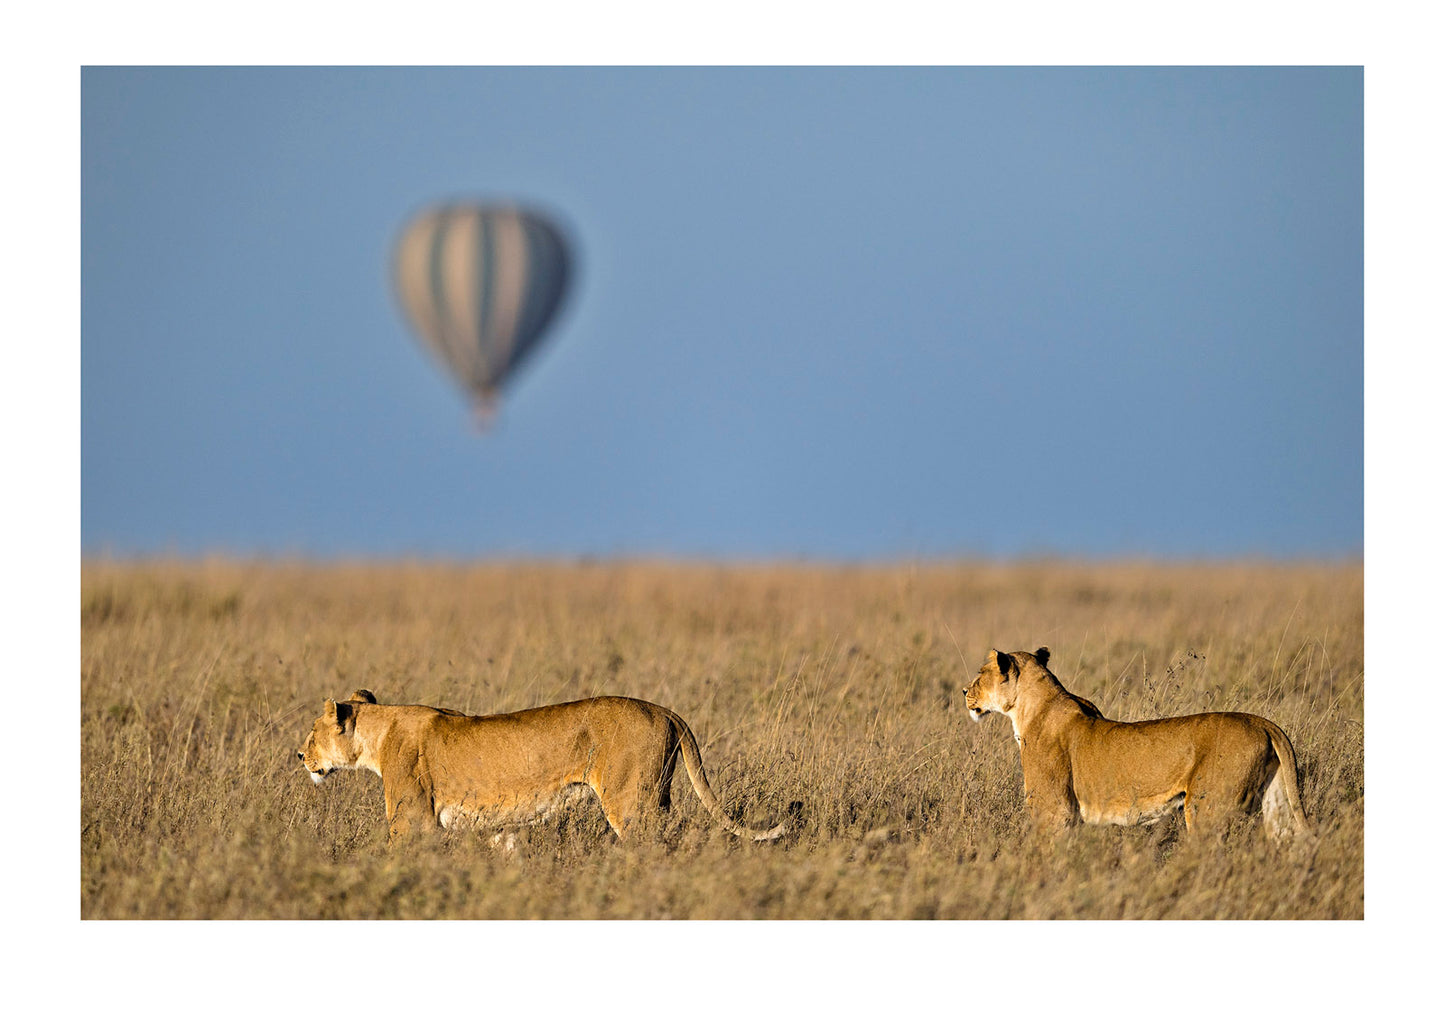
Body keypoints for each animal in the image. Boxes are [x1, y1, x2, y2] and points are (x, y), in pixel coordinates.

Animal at [297, 690, 797, 844]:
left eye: (311, 734)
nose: (300, 757)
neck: (377, 736)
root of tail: (665, 709)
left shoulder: (413, 822)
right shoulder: (498, 826)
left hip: (631, 804)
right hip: (659, 793)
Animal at [964, 648, 1310, 841]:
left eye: (980, 674)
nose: (964, 691)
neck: (1028, 709)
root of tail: (1264, 723)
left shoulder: (1055, 810)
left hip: (1206, 807)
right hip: (1277, 801)